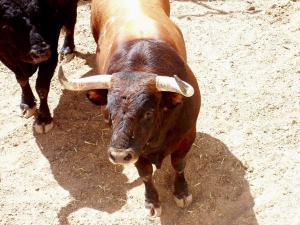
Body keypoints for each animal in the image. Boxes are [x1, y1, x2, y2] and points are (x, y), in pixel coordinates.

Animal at [58, 0, 200, 218]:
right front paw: (152, 202)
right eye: (109, 111)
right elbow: (145, 174)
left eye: (148, 112)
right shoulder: (137, 150)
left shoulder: (188, 135)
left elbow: (179, 164)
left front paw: (182, 193)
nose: (118, 155)